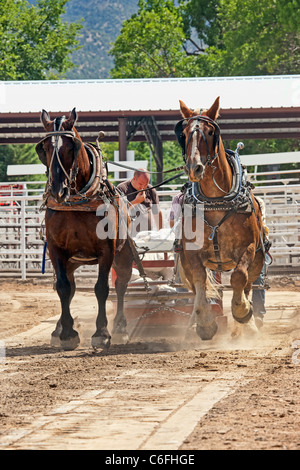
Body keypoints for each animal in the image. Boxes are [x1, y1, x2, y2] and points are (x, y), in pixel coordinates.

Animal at [35, 109, 133, 348]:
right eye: (46, 148)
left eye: (72, 147)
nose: (58, 190)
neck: (77, 202)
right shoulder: (56, 250)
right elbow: (63, 287)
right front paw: (68, 333)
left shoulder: (107, 251)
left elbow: (102, 288)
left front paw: (102, 333)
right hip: (71, 260)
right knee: (69, 287)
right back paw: (58, 329)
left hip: (123, 255)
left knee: (121, 285)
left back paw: (120, 327)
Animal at [176, 97, 264, 340]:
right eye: (184, 133)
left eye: (209, 132)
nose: (194, 168)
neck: (215, 201)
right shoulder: (191, 253)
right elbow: (200, 282)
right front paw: (205, 323)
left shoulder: (248, 248)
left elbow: (238, 278)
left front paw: (242, 312)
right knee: (198, 288)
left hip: (258, 262)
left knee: (247, 285)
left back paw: (249, 326)